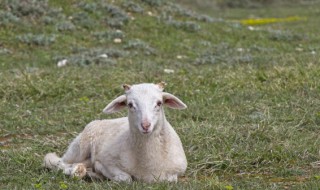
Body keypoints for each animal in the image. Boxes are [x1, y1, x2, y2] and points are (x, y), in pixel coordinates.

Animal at [43, 81, 188, 183]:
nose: (145, 125)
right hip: (79, 147)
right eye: (130, 104)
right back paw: (76, 171)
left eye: (159, 103)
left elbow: (170, 179)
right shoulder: (107, 161)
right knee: (57, 162)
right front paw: (101, 173)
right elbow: (126, 178)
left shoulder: (176, 171)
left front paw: (96, 173)